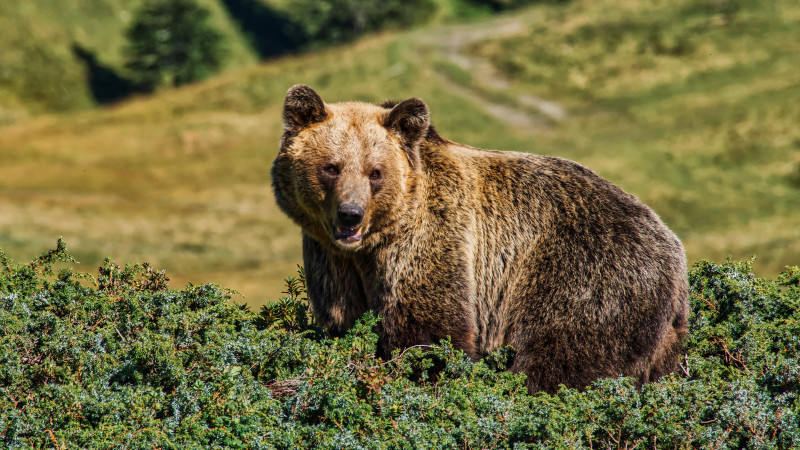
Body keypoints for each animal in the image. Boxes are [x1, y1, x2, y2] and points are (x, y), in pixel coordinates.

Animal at [272, 84, 692, 394]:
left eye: (375, 172)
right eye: (331, 167)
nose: (350, 213)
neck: (373, 245)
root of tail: (675, 250)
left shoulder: (432, 241)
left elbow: (430, 331)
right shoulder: (331, 260)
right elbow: (342, 319)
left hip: (585, 275)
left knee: (559, 360)